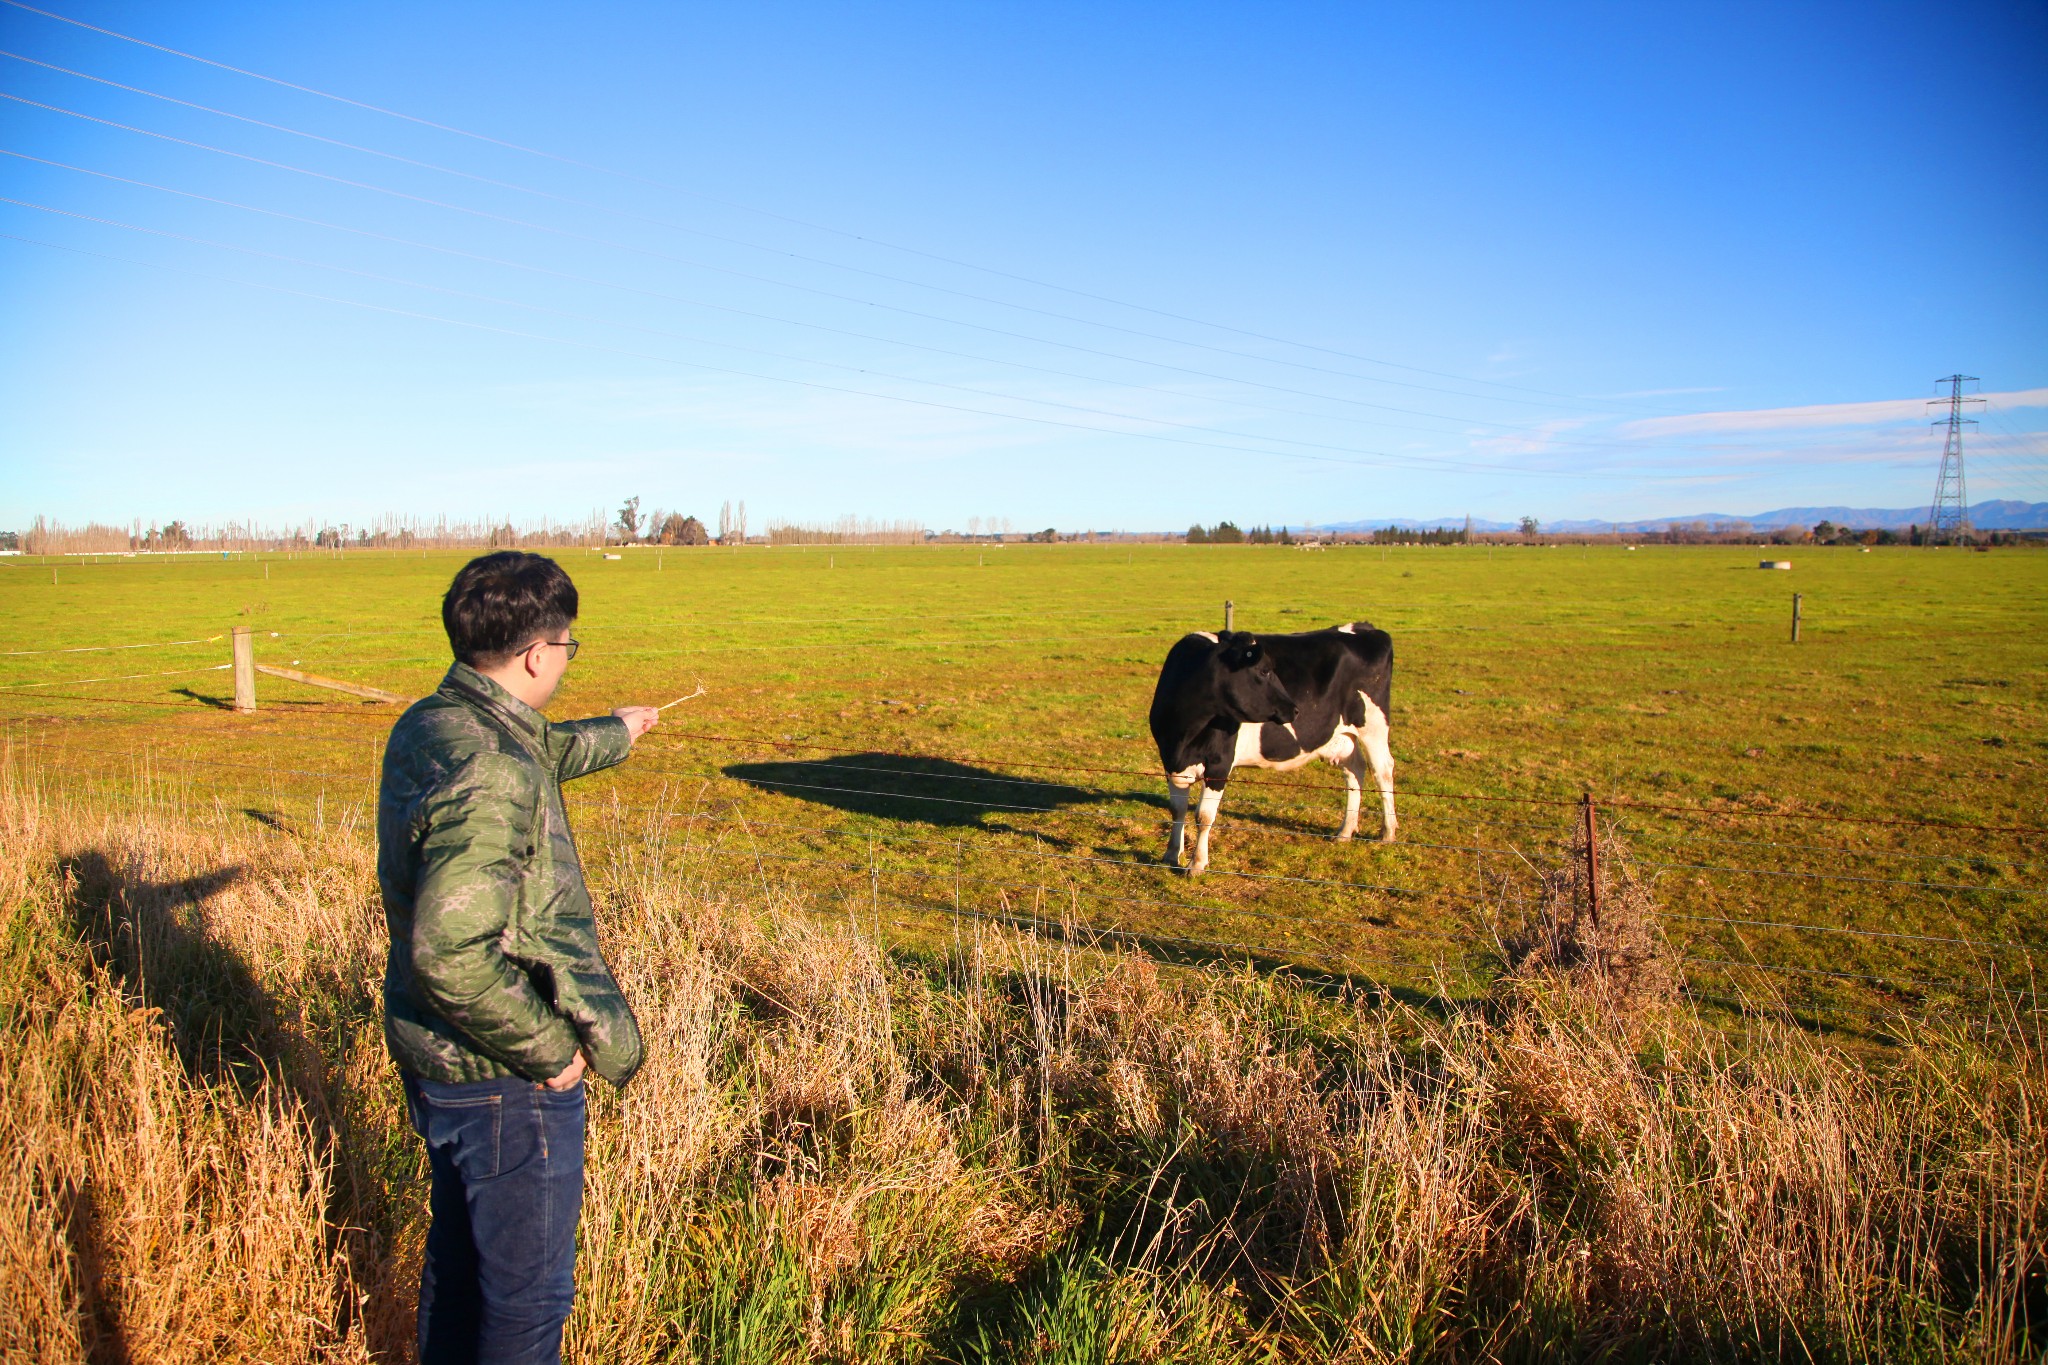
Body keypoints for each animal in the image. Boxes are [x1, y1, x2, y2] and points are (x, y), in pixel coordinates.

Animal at [1146, 626, 1400, 875]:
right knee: (1355, 770)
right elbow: (1177, 809)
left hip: (1373, 726)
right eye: (1265, 671)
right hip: (1342, 736)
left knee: (1382, 771)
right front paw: (1171, 854)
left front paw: (1196, 864)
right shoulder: (1170, 760)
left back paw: (1388, 832)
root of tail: (1367, 628)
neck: (1183, 733)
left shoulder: (1219, 764)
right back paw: (1345, 831)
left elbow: (1203, 815)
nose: (1295, 709)